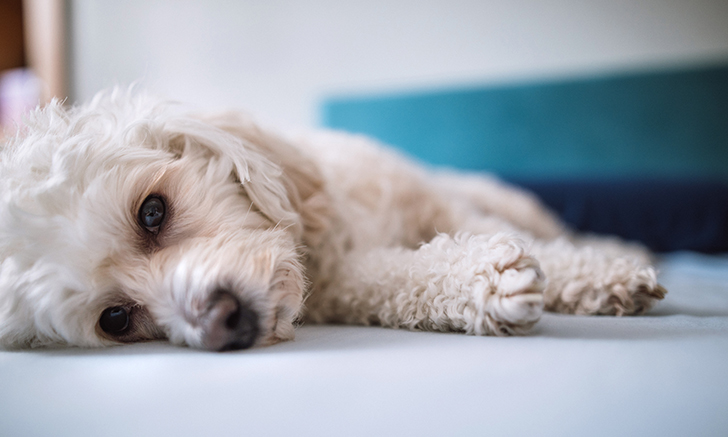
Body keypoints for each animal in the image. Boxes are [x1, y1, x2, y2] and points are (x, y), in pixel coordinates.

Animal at [0, 91, 664, 350]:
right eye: (115, 318)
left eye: (153, 211)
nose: (220, 323)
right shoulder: (348, 281)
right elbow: (410, 281)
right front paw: (488, 285)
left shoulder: (436, 208)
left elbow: (545, 248)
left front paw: (605, 276)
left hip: (489, 195)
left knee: (547, 226)